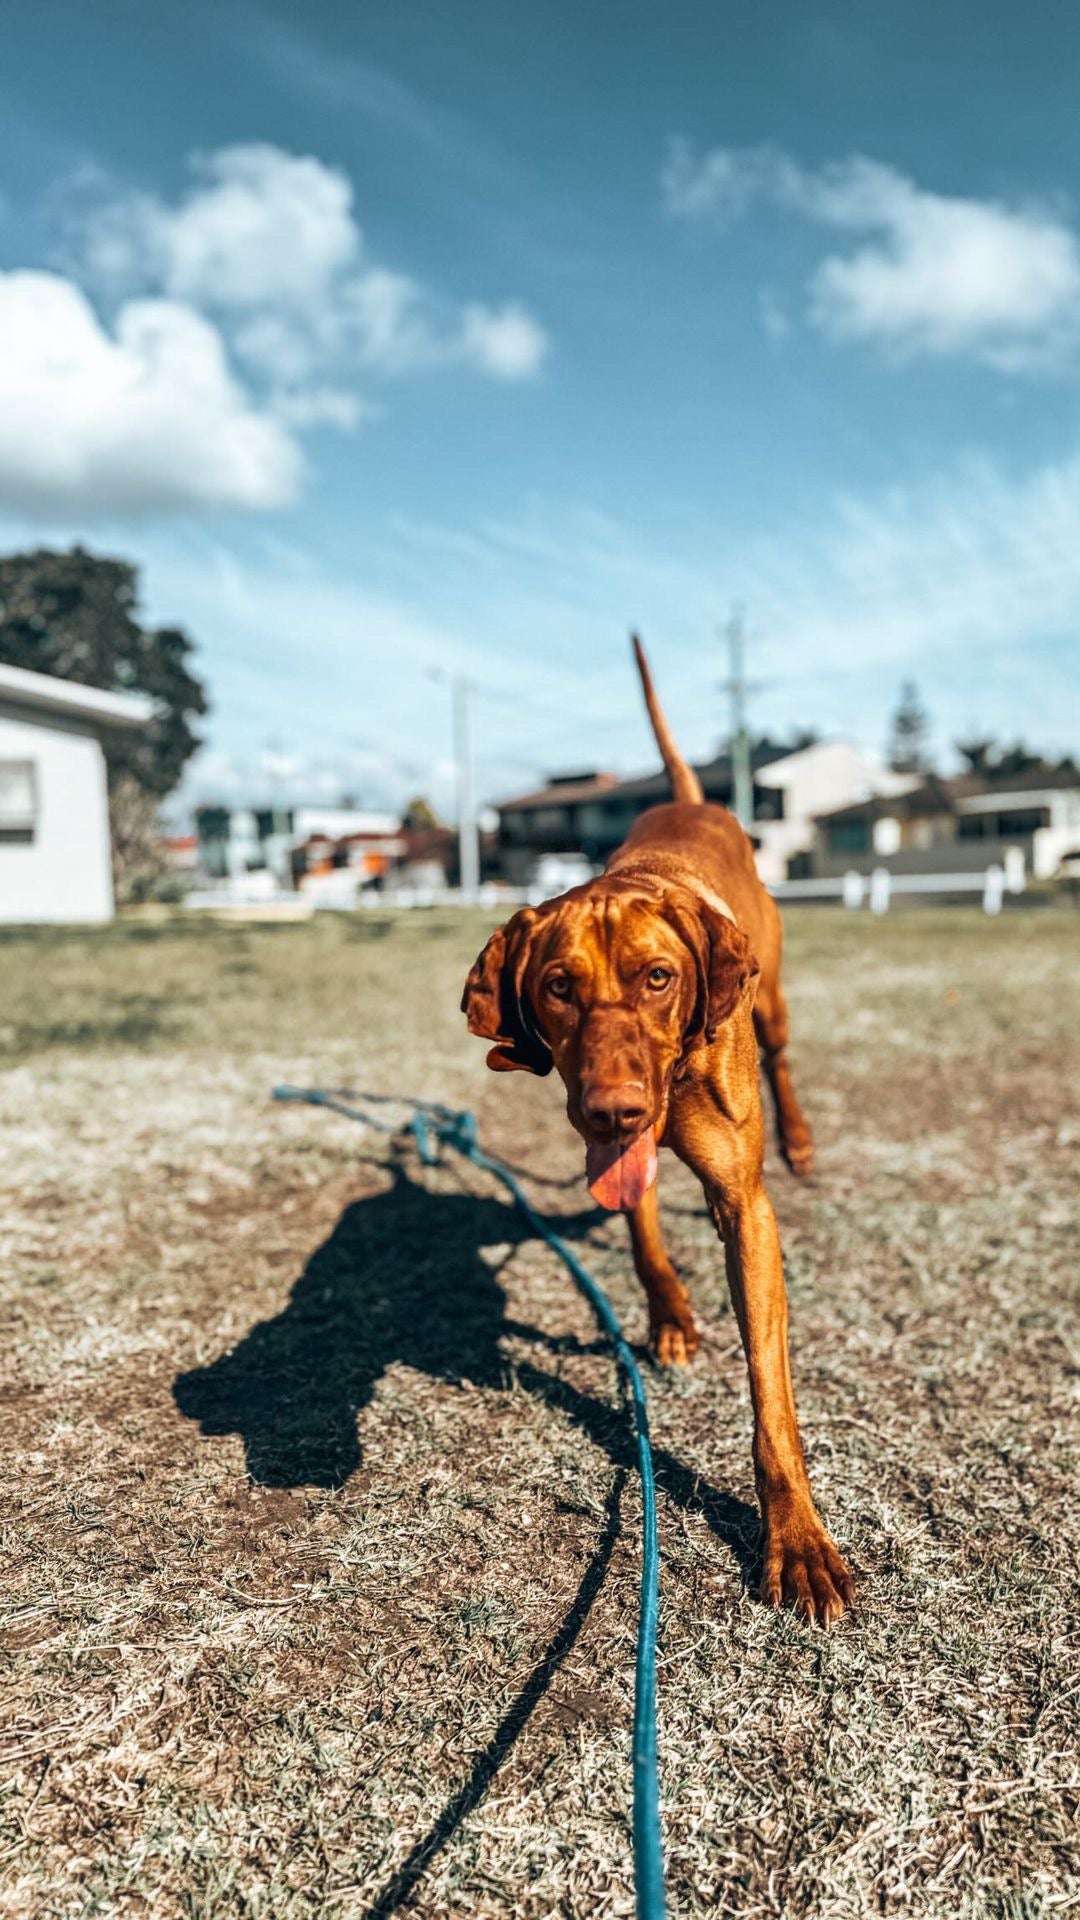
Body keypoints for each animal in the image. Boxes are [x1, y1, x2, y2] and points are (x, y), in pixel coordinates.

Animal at [457, 641, 853, 1620]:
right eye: (557, 986)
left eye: (659, 978)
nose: (613, 1109)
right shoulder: (618, 1156)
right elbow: (638, 1233)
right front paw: (670, 1315)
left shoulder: (744, 1206)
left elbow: (771, 1396)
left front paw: (796, 1539)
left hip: (775, 1000)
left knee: (783, 1058)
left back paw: (801, 1139)